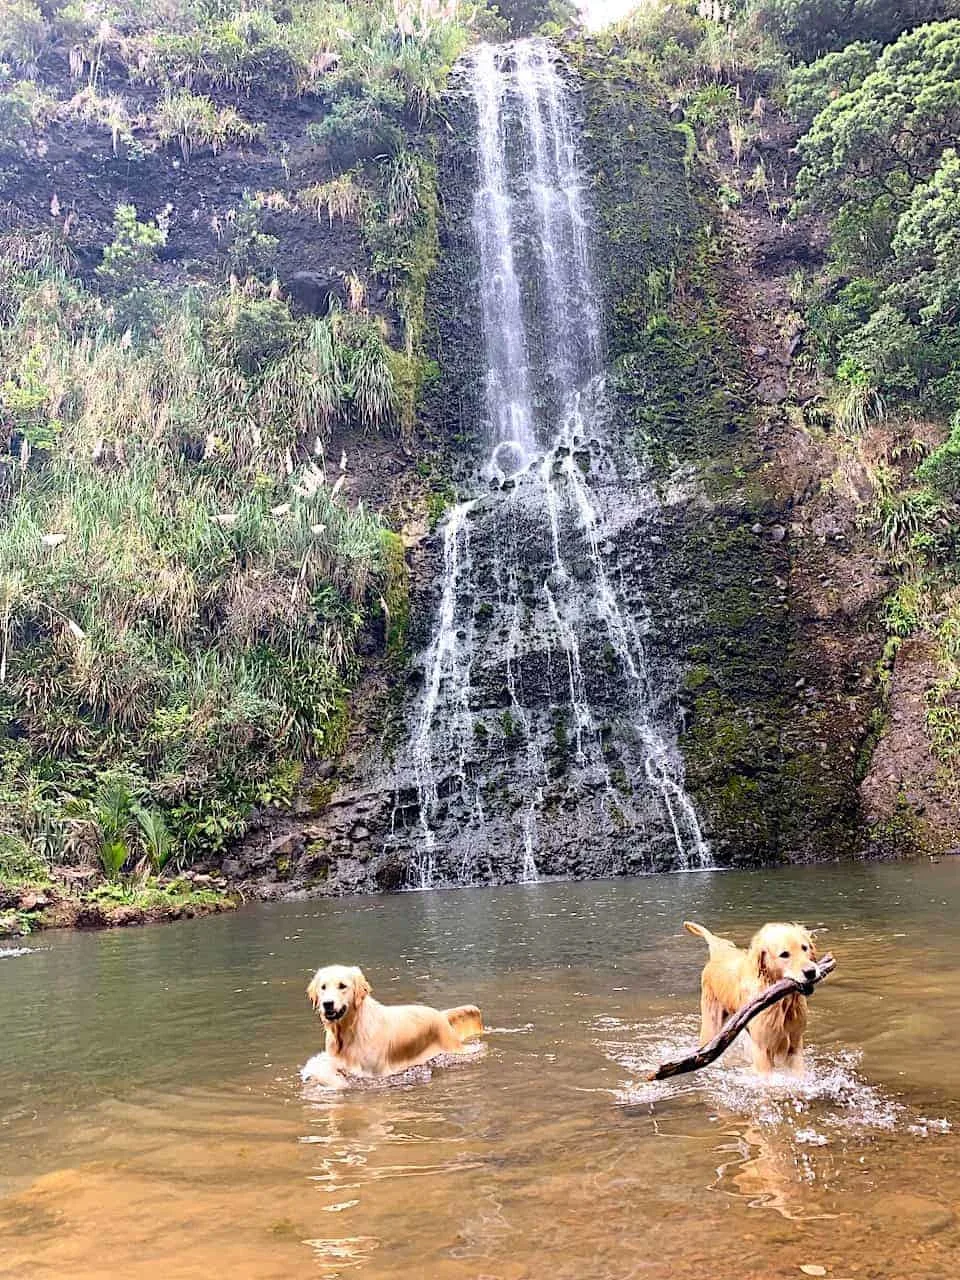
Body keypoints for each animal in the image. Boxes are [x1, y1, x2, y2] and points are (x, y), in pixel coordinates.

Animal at [302, 962, 483, 1085]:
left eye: (342, 986)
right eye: (323, 987)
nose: (327, 1004)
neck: (350, 1030)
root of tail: (440, 1014)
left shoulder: (376, 1074)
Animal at [686, 916, 819, 1075]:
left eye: (804, 948)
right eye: (784, 954)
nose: (811, 972)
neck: (781, 1002)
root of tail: (719, 954)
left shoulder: (795, 1045)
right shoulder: (763, 1050)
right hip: (711, 1027)